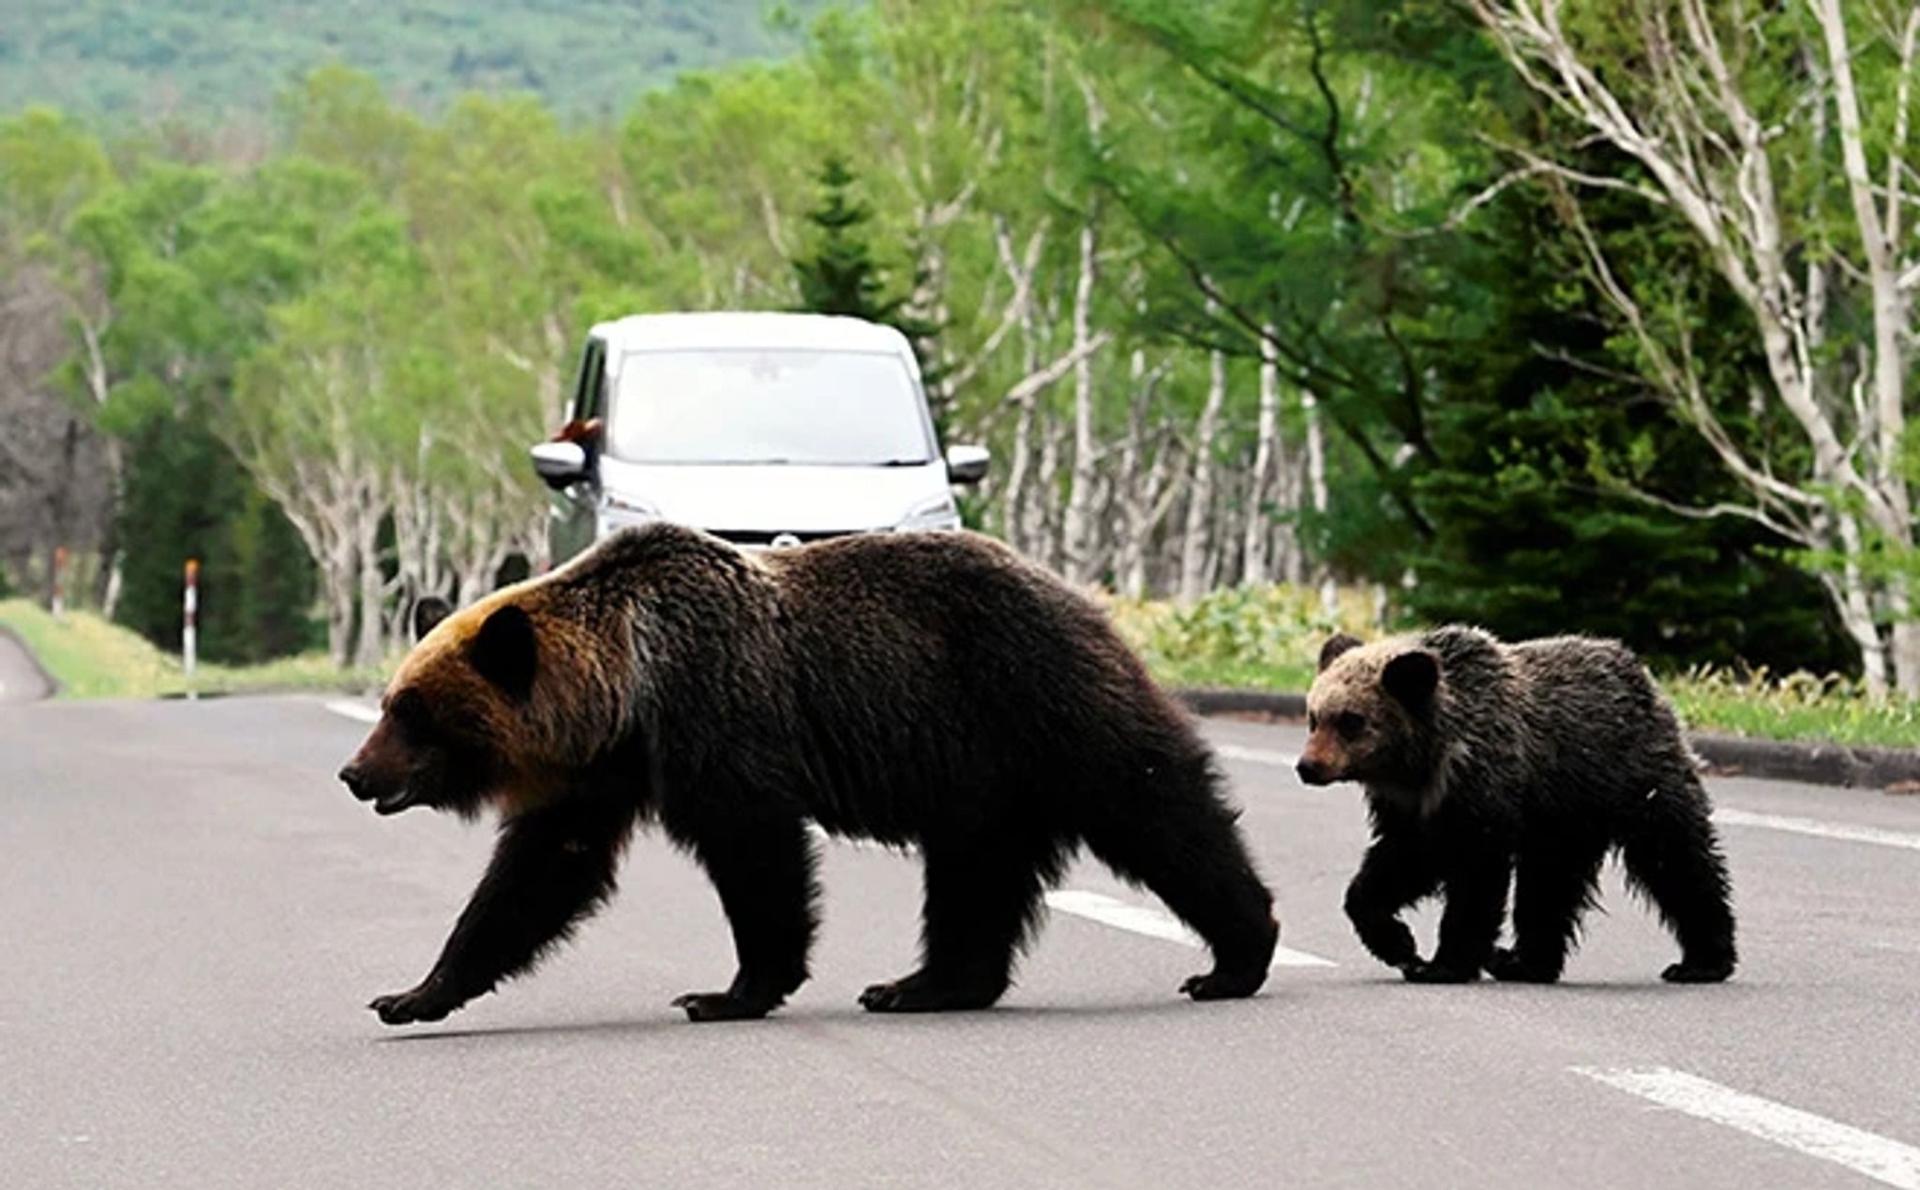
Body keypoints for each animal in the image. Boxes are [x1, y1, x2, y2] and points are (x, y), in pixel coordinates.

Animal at [338, 522, 1279, 1025]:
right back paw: (921, 984)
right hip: (980, 776)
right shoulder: (599, 773)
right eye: (390, 700)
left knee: (1155, 807)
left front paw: (729, 990)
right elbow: (537, 875)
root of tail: (1085, 596)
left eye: (411, 712)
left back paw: (1234, 958)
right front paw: (413, 993)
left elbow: (755, 852)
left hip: (1034, 699)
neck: (628, 691)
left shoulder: (716, 717)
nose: (354, 772)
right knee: (975, 874)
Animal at [1297, 626, 1736, 985]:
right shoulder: (1412, 808)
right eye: (1314, 717)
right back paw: (1524, 962)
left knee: (1675, 858)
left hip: (1633, 779)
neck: (1423, 761)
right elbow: (1396, 865)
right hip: (1564, 820)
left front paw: (1442, 964)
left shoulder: (1483, 788)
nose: (1308, 766)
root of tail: (1642, 673)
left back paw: (1701, 961)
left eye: (1350, 720)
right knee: (1550, 885)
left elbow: (1475, 877)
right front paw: (1399, 944)